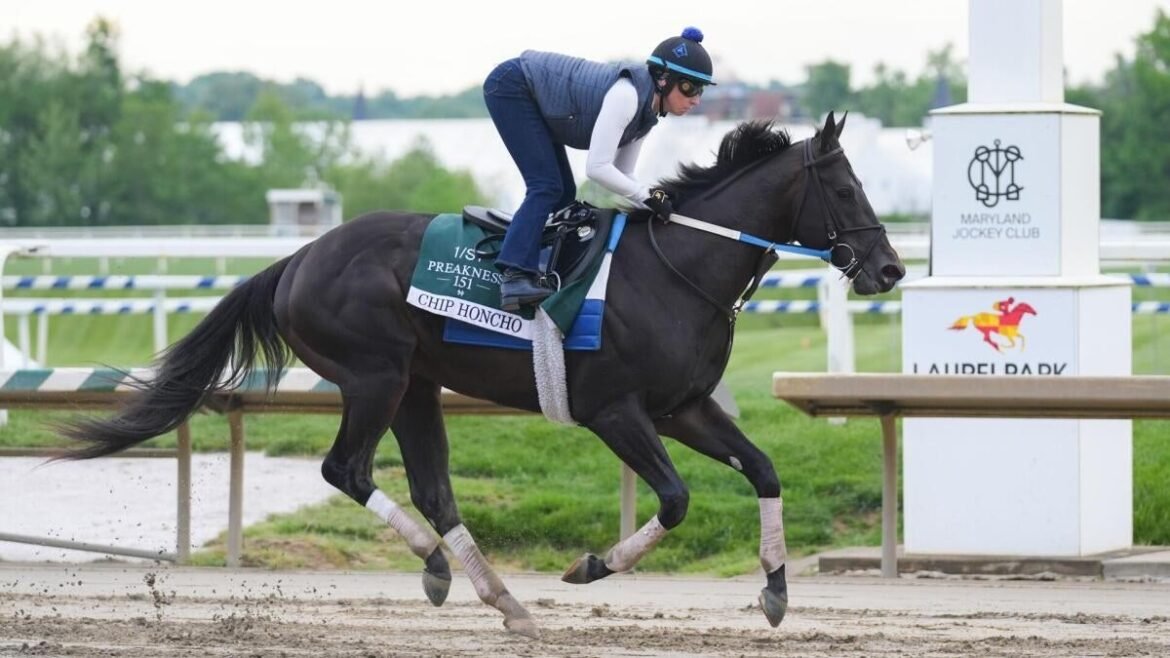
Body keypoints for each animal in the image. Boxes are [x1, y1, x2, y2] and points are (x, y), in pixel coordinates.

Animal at [58, 112, 905, 638]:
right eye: (846, 188)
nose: (891, 268)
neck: (678, 268)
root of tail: (297, 259)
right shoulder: (616, 411)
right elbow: (674, 499)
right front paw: (591, 566)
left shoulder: (685, 407)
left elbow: (762, 470)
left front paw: (776, 590)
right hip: (375, 376)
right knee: (345, 468)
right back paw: (442, 568)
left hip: (416, 385)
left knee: (432, 488)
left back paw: (499, 597)